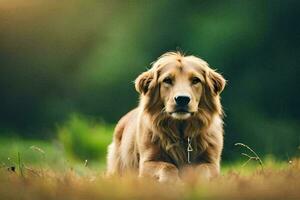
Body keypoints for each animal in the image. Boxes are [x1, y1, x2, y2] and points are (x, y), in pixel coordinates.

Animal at [105, 50, 225, 182]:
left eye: (195, 80)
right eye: (167, 80)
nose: (182, 99)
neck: (181, 131)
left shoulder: (212, 163)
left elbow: (202, 169)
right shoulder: (147, 162)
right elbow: (168, 166)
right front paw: (172, 182)